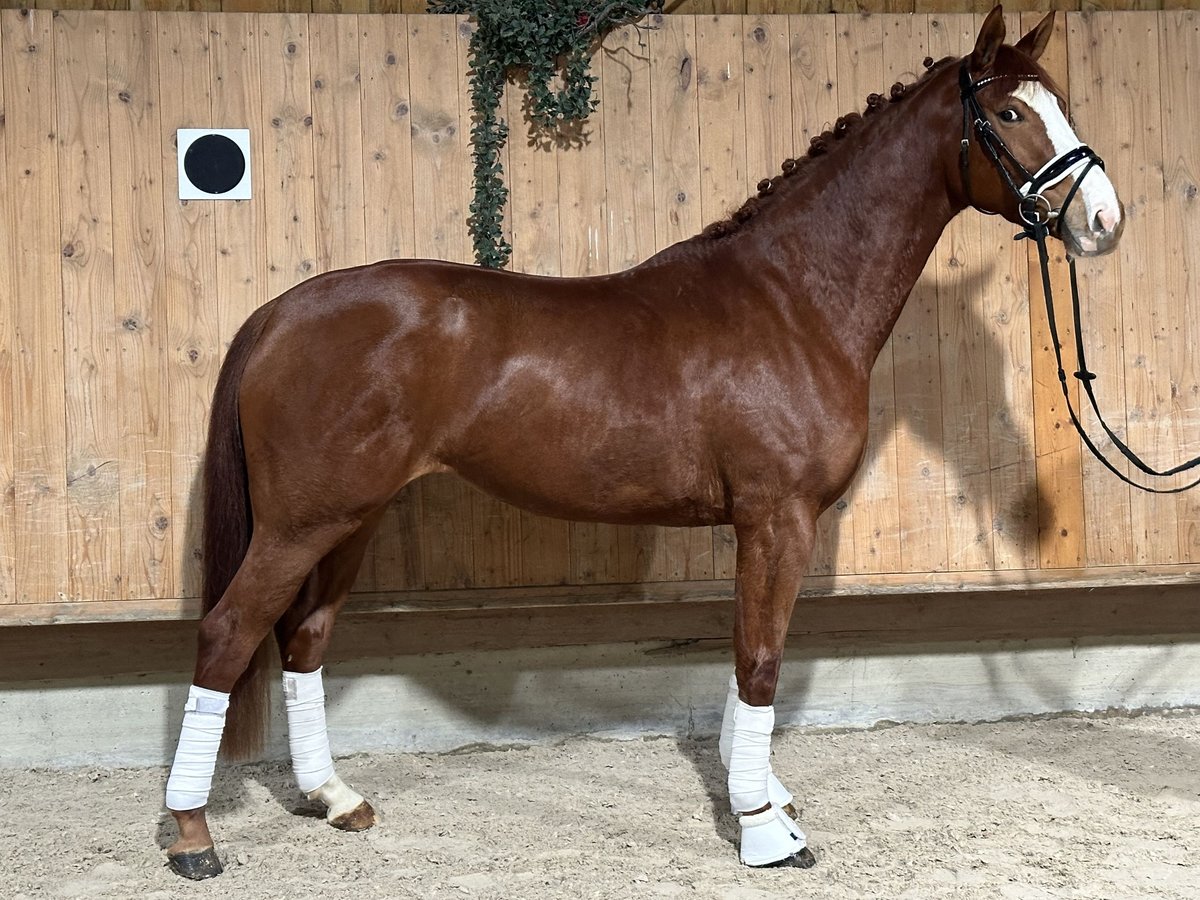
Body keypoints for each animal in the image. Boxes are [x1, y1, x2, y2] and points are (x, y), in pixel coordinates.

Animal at [164, 7, 1118, 883]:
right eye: (1009, 114)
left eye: (1062, 103)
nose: (1102, 221)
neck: (792, 299)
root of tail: (283, 310)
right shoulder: (778, 518)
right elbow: (760, 662)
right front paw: (765, 832)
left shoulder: (764, 525)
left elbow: (745, 659)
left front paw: (765, 799)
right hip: (302, 525)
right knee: (229, 633)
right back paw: (192, 837)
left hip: (350, 519)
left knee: (304, 637)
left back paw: (335, 799)